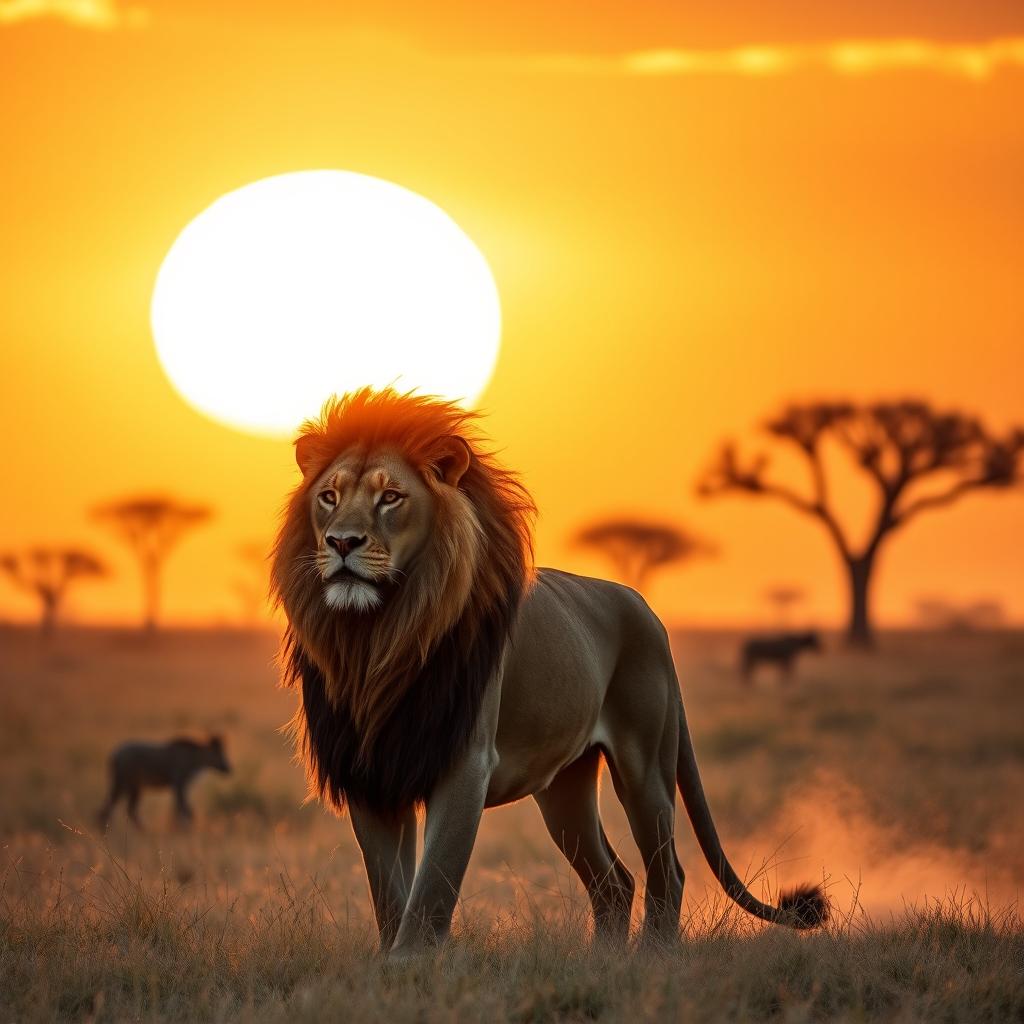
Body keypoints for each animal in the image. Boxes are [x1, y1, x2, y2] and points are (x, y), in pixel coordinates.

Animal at [270, 389, 823, 958]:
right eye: (329, 497)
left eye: (391, 497)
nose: (341, 543)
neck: (377, 636)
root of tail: (645, 607)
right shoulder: (371, 772)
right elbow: (389, 894)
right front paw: (390, 966)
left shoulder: (465, 764)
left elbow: (431, 891)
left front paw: (411, 963)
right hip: (565, 787)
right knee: (614, 880)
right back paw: (605, 961)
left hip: (645, 766)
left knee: (667, 871)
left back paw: (653, 958)